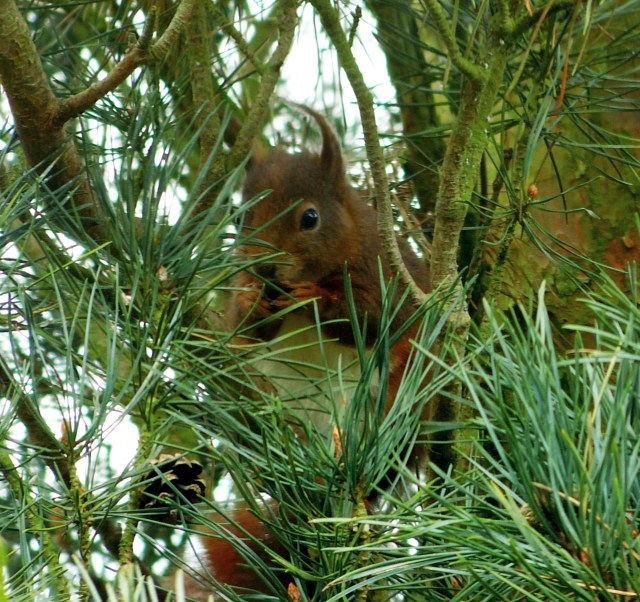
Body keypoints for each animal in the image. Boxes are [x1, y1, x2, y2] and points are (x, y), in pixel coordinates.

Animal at [184, 108, 432, 599]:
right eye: (239, 217)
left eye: (310, 217)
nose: (263, 267)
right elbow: (248, 326)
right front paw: (254, 300)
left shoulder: (385, 278)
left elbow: (367, 319)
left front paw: (314, 300)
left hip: (393, 394)